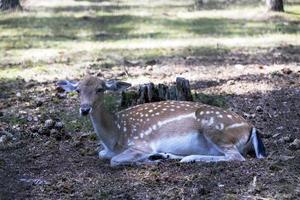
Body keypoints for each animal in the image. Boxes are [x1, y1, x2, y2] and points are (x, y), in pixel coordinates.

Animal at [57, 76, 266, 166]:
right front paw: (153, 158)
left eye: (100, 89)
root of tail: (251, 127)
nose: (85, 109)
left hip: (215, 127)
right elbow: (102, 155)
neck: (115, 136)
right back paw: (164, 155)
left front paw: (146, 161)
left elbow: (115, 161)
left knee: (235, 157)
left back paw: (187, 158)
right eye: (78, 90)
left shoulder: (141, 143)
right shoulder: (106, 150)